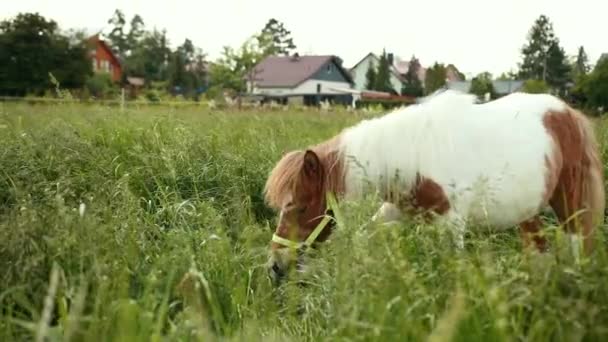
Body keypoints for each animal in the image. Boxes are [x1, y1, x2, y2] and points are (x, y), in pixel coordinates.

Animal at [264, 89, 604, 282]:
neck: (412, 156)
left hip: (570, 203)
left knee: (577, 245)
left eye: (299, 206)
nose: (276, 266)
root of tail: (569, 113)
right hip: (527, 211)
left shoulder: (450, 225)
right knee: (539, 252)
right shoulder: (397, 213)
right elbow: (365, 236)